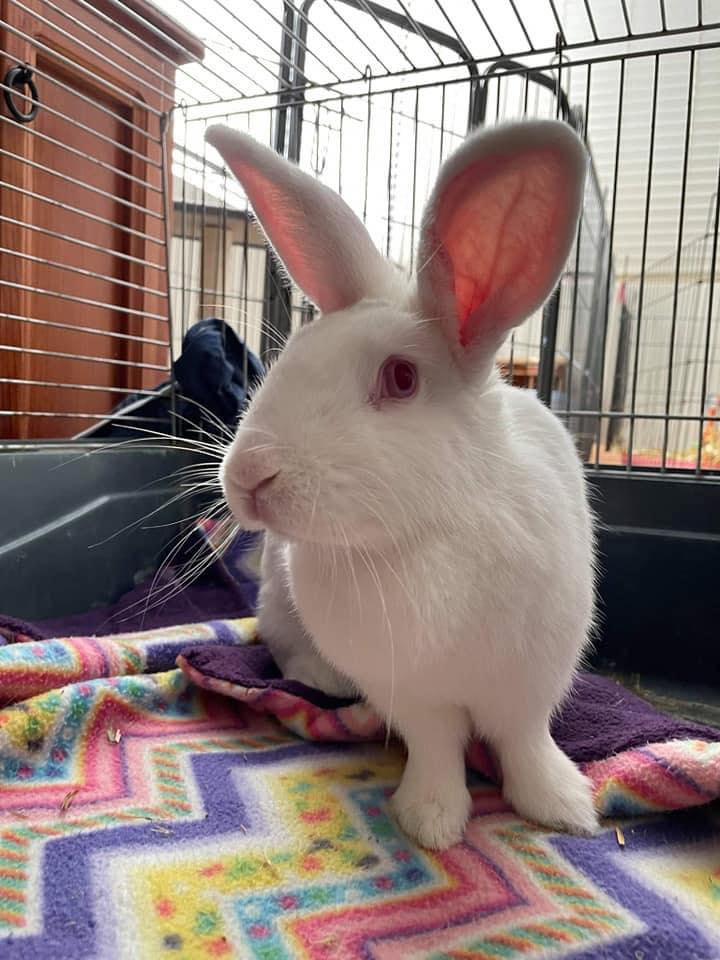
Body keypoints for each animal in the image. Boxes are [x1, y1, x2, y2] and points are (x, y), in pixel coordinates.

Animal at [207, 118, 599, 849]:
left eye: (400, 379)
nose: (247, 476)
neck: (427, 533)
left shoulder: (531, 680)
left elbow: (526, 743)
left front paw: (562, 806)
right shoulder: (413, 695)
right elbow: (437, 749)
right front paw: (432, 821)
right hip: (278, 604)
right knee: (286, 649)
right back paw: (322, 678)